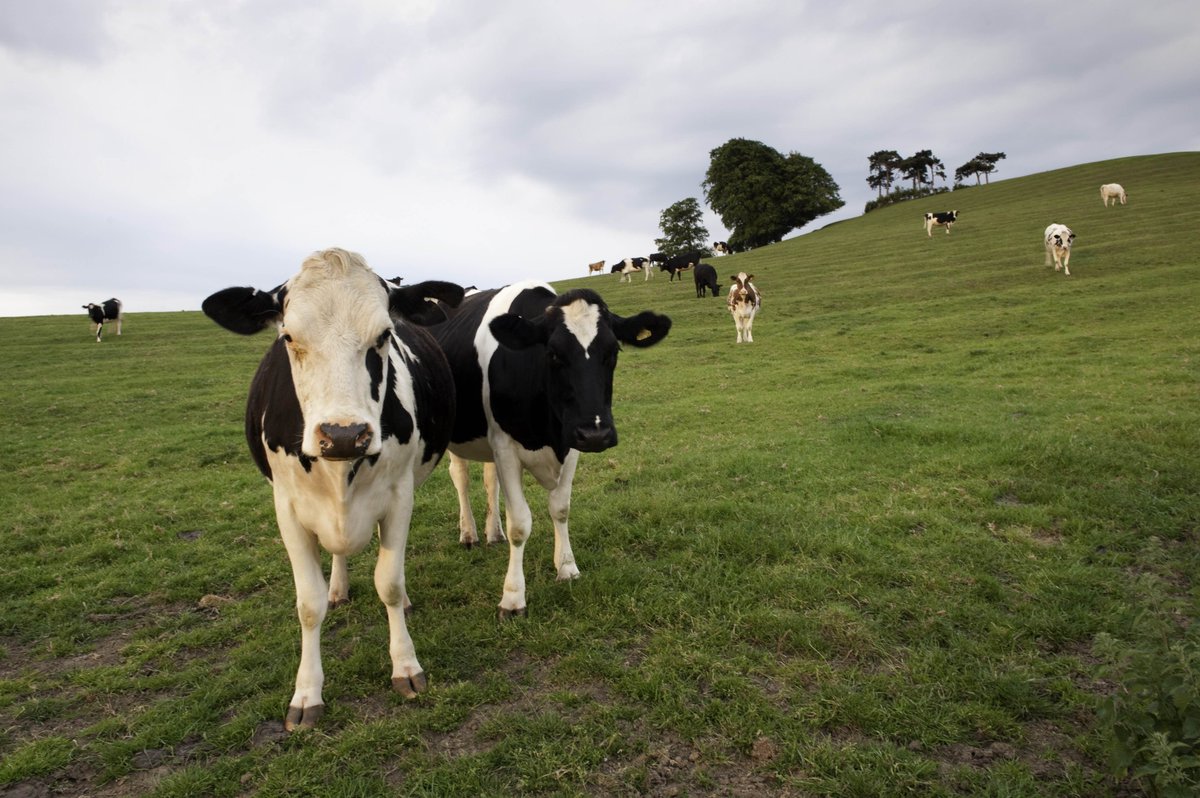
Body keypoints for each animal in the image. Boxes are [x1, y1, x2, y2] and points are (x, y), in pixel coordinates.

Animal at [201, 248, 464, 731]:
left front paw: (405, 666)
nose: (344, 435)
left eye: (384, 335)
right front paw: (307, 693)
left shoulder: (399, 496)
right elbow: (308, 603)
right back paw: (338, 587)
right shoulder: (286, 507)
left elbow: (389, 582)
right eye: (288, 336)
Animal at [430, 281, 671, 618]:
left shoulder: (570, 444)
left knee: (490, 481)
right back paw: (469, 533)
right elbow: (520, 523)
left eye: (613, 351)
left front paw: (567, 568)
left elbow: (560, 508)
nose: (596, 433)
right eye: (554, 354)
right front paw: (513, 597)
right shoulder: (505, 445)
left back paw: (493, 533)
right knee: (461, 477)